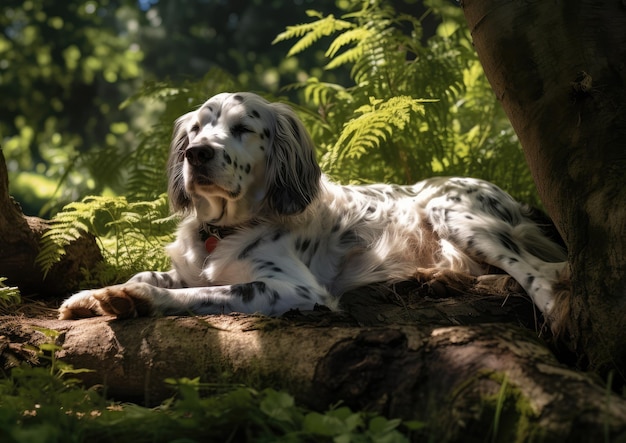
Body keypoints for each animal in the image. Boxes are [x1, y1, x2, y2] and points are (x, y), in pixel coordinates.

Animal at [57, 93, 564, 322]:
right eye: (197, 128)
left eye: (243, 128)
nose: (196, 154)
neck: (223, 229)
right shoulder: (188, 267)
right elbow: (148, 273)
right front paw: (93, 295)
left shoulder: (295, 289)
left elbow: (209, 293)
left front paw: (142, 298)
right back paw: (435, 278)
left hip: (451, 209)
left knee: (538, 272)